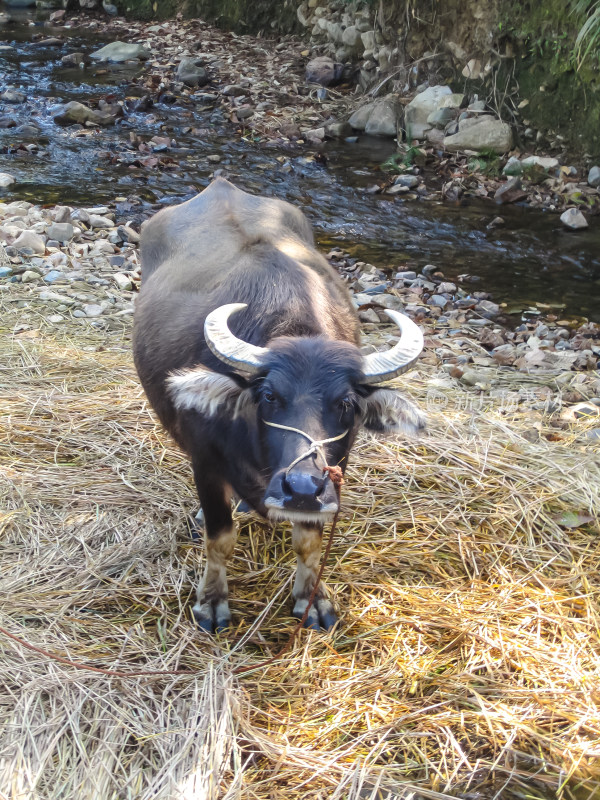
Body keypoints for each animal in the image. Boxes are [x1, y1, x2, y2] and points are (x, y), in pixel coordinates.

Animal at [135, 178, 426, 636]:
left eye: (345, 403)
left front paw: (312, 599)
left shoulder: (330, 476)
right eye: (270, 396)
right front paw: (211, 603)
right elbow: (220, 538)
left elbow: (309, 542)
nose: (301, 488)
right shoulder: (205, 459)